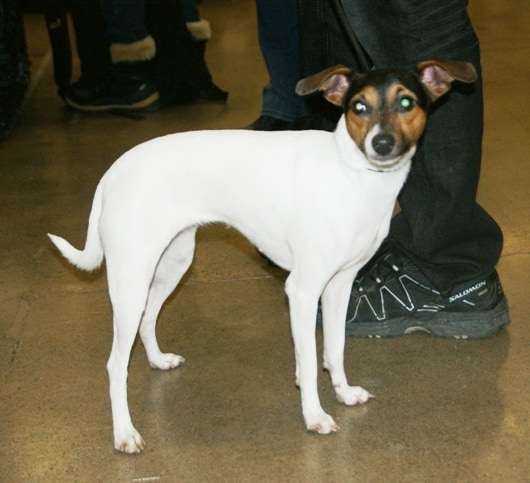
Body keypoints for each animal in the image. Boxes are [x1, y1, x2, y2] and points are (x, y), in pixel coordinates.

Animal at [48, 60, 474, 454]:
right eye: (359, 107)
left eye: (406, 102)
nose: (381, 144)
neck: (351, 174)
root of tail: (115, 171)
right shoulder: (302, 291)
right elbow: (311, 360)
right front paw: (314, 415)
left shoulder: (339, 286)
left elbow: (333, 349)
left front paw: (343, 391)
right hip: (131, 281)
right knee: (116, 365)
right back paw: (124, 433)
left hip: (172, 265)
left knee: (148, 320)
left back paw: (157, 360)